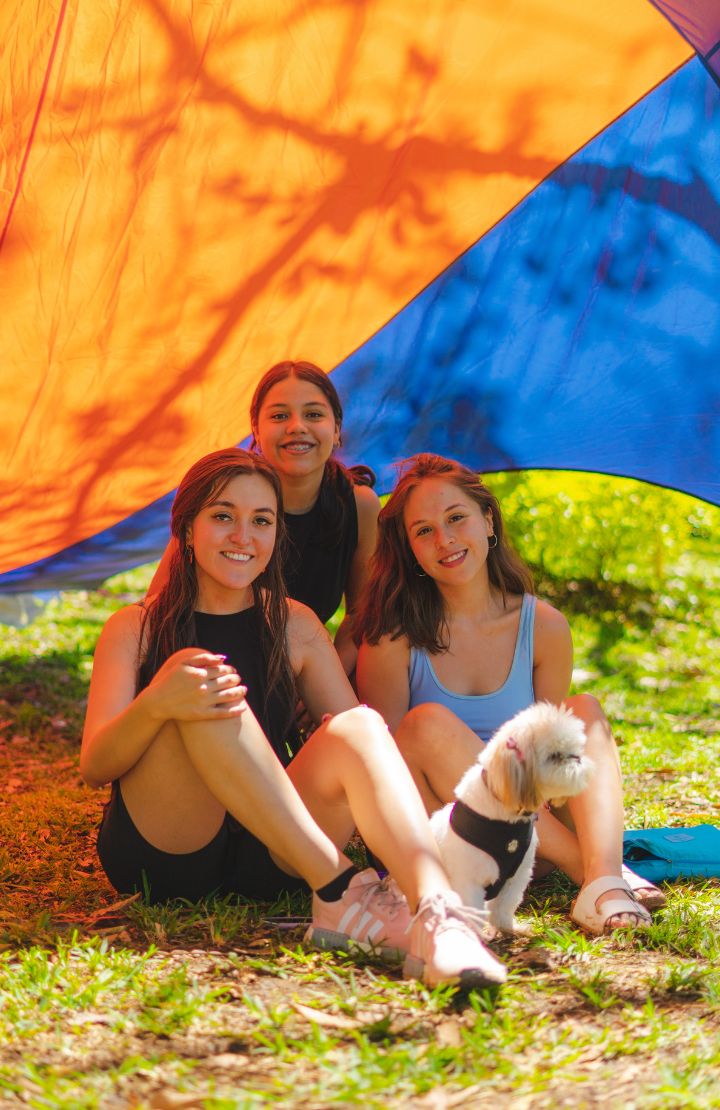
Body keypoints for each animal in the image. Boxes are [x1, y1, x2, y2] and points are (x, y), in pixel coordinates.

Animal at [431, 702, 593, 935]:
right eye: (554, 756)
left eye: (576, 750)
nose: (578, 759)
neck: (504, 823)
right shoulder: (468, 883)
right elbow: (472, 910)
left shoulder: (516, 876)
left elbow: (505, 905)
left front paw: (507, 926)